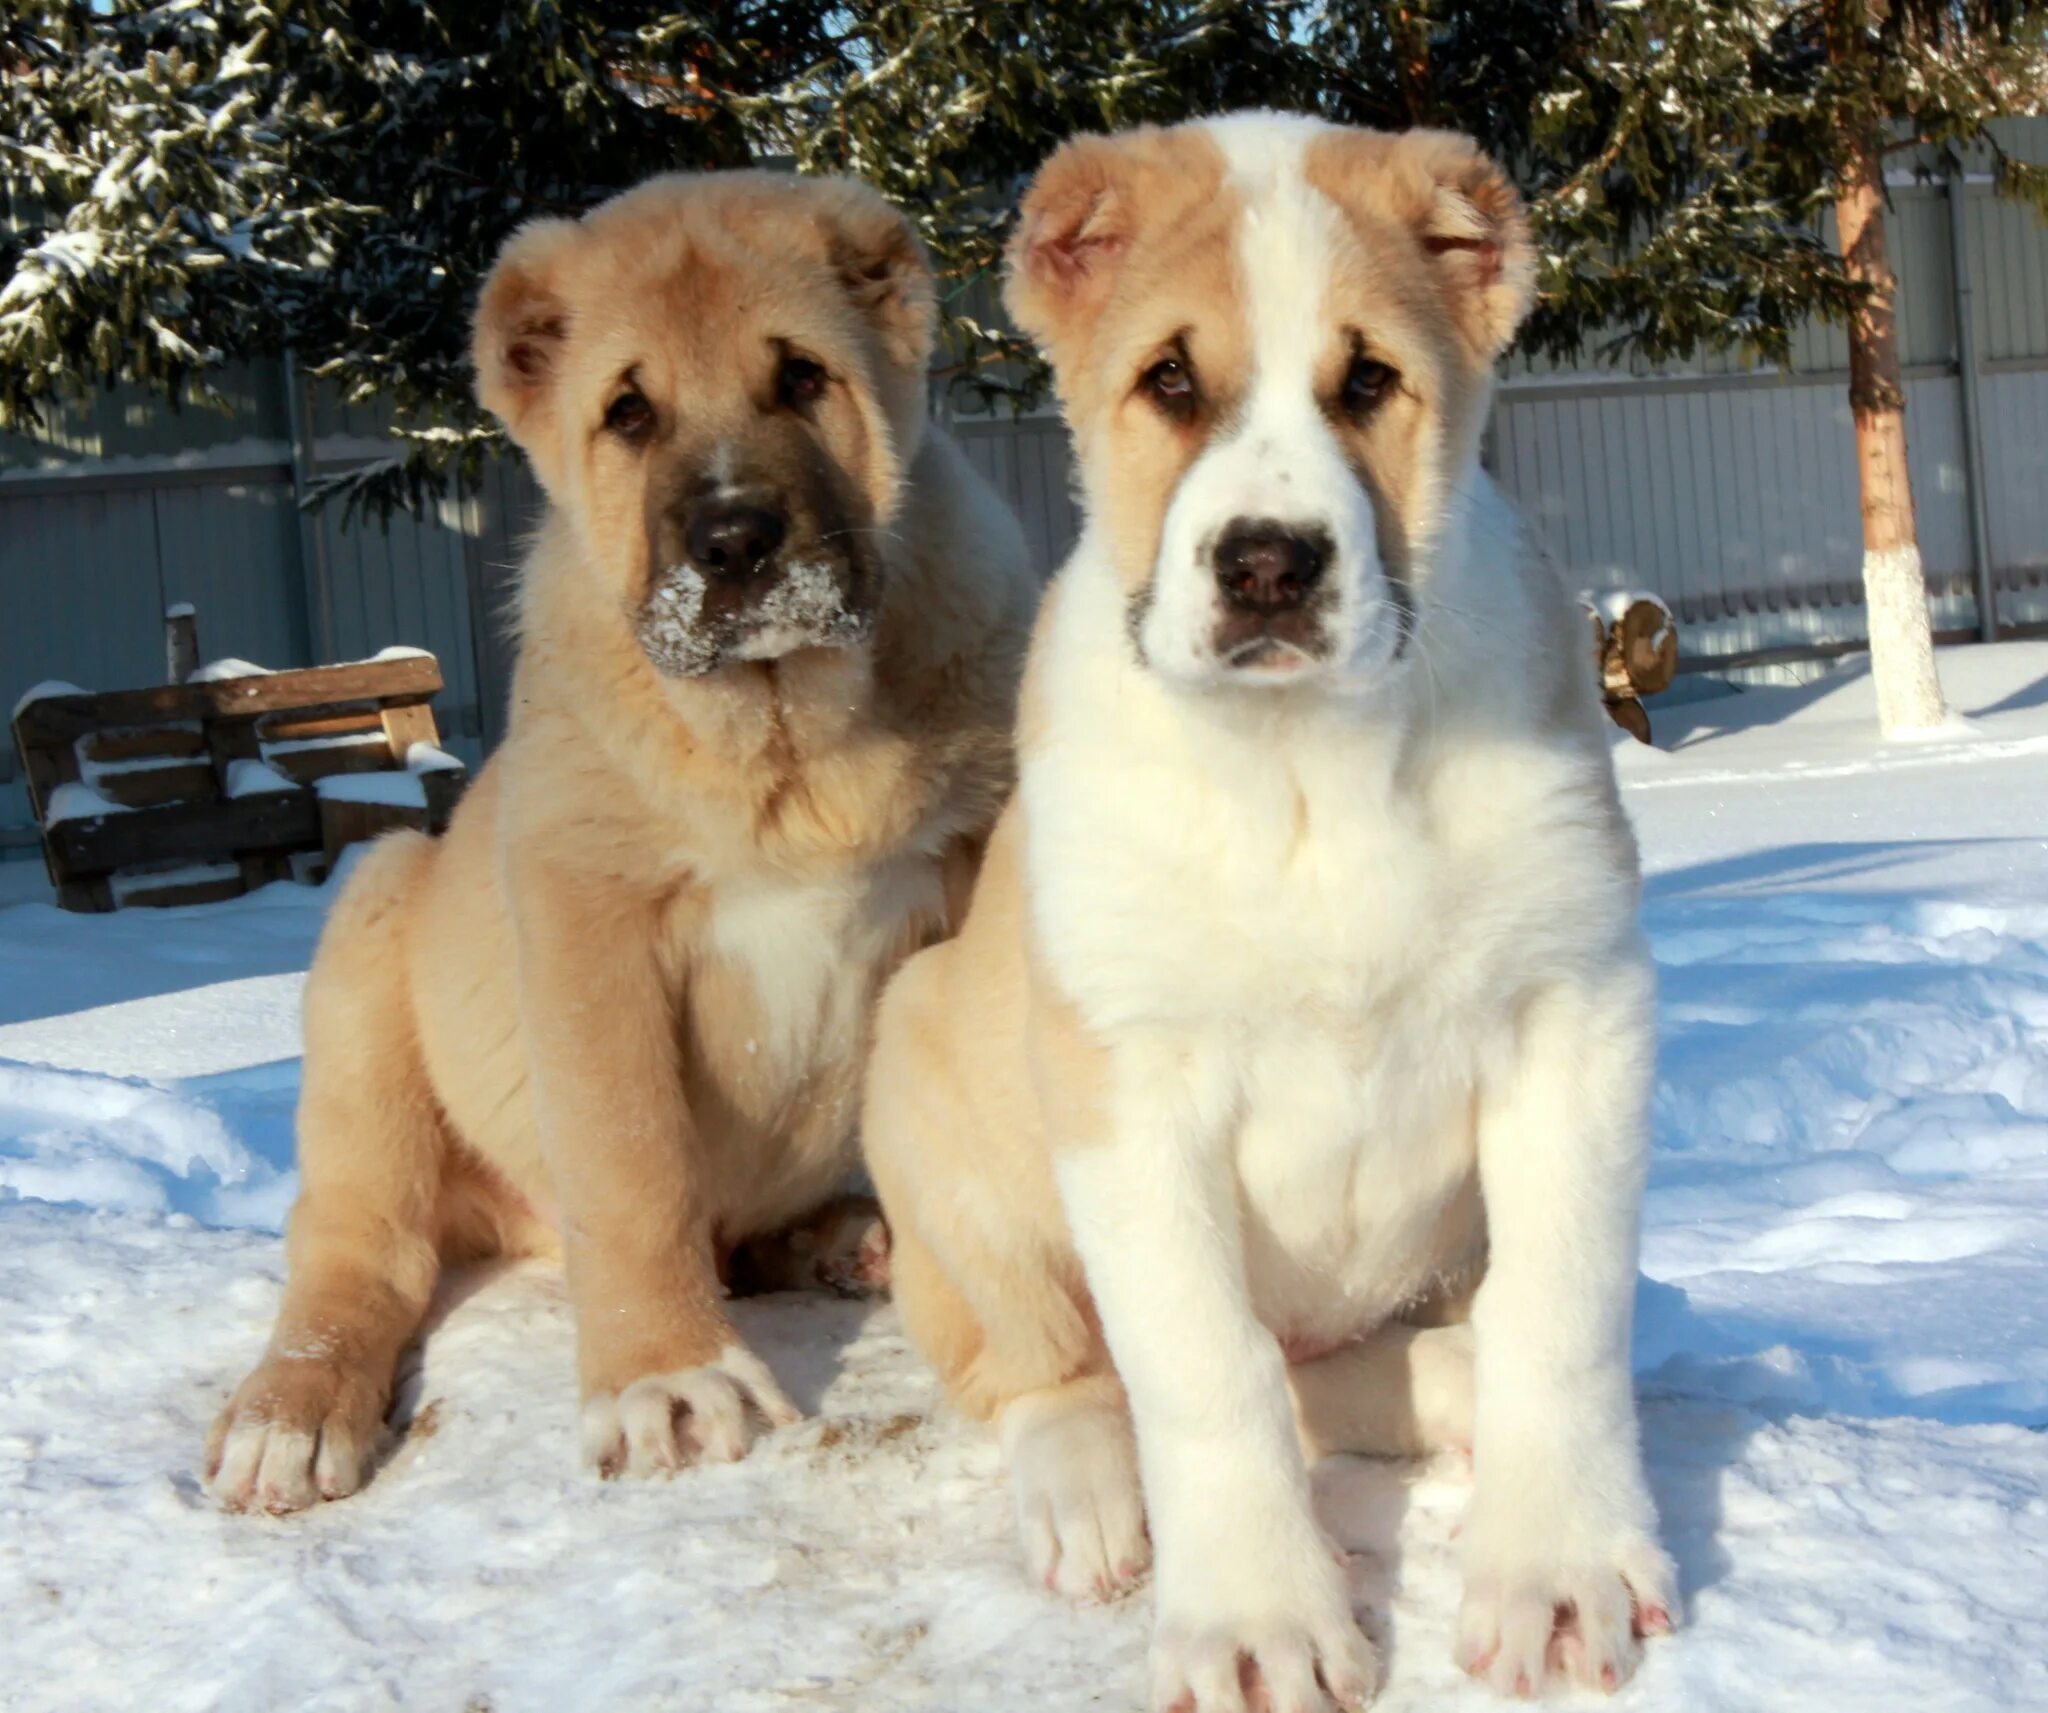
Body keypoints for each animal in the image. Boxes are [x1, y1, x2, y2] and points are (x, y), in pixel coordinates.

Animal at [209, 174, 1032, 1516]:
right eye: (628, 413)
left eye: (803, 378)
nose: (736, 541)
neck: (785, 733)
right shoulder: (589, 920)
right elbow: (633, 1166)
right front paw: (669, 1377)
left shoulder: (977, 864)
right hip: (373, 943)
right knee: (359, 1247)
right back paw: (291, 1411)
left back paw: (837, 1233)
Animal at [864, 113, 1679, 1704]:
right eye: (1169, 382)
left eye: (1367, 381)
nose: (1266, 563)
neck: (1313, 770)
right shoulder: (1128, 1084)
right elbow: (1200, 1367)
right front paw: (1255, 1618)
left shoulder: (1575, 1010)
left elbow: (1560, 1311)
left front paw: (1555, 1568)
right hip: (920, 1068)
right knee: (1053, 1369)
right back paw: (1090, 1494)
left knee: (1354, 1367)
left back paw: (1449, 1381)